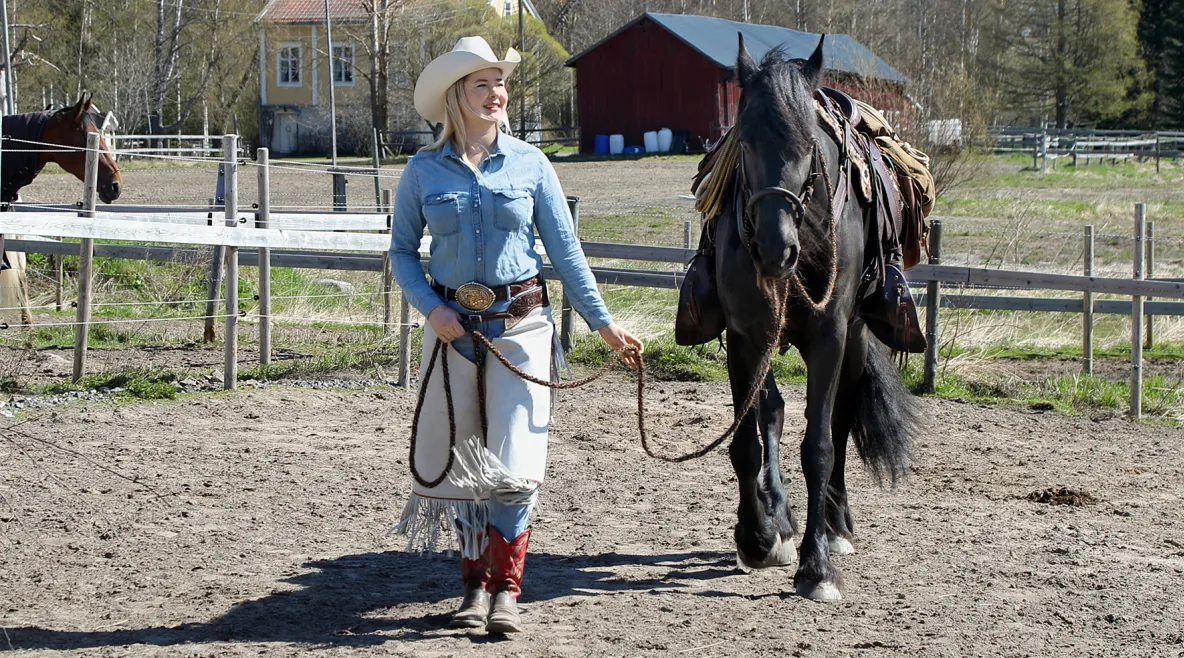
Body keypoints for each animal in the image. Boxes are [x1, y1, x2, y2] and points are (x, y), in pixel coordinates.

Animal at [705, 35, 918, 601]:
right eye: (745, 142)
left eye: (809, 145)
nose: (775, 249)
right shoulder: (746, 336)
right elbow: (746, 441)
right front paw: (758, 537)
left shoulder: (829, 335)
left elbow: (820, 445)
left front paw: (816, 565)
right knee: (773, 413)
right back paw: (780, 521)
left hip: (857, 338)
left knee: (840, 422)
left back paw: (836, 524)